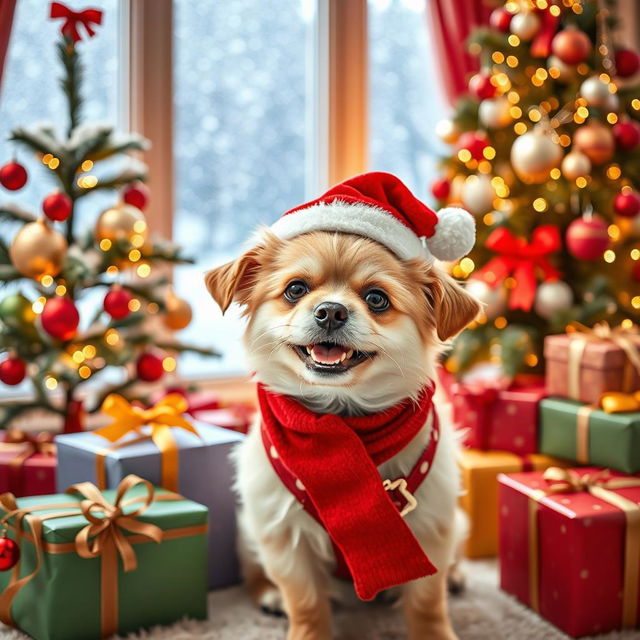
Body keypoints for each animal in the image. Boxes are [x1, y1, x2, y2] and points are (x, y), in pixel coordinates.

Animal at [205, 171, 480, 640]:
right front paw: (304, 627)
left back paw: (460, 576)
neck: (344, 421)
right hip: (249, 530)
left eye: (377, 299)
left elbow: (427, 601)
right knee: (256, 575)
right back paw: (269, 597)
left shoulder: (432, 526)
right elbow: (306, 602)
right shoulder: (283, 536)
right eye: (296, 289)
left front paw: (435, 632)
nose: (331, 311)